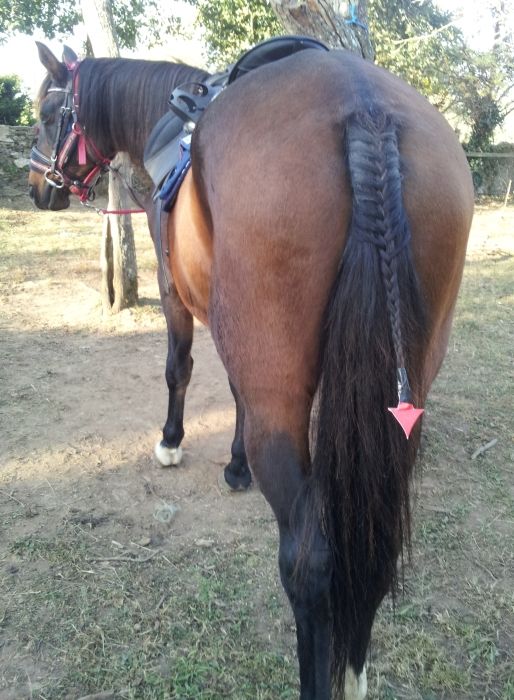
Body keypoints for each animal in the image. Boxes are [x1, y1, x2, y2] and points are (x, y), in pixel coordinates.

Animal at [29, 41, 474, 699]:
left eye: (47, 112)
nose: (38, 186)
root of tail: (365, 109)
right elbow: (234, 394)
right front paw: (235, 465)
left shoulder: (175, 292)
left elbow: (180, 369)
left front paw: (171, 442)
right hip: (399, 402)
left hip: (283, 406)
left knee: (309, 561)